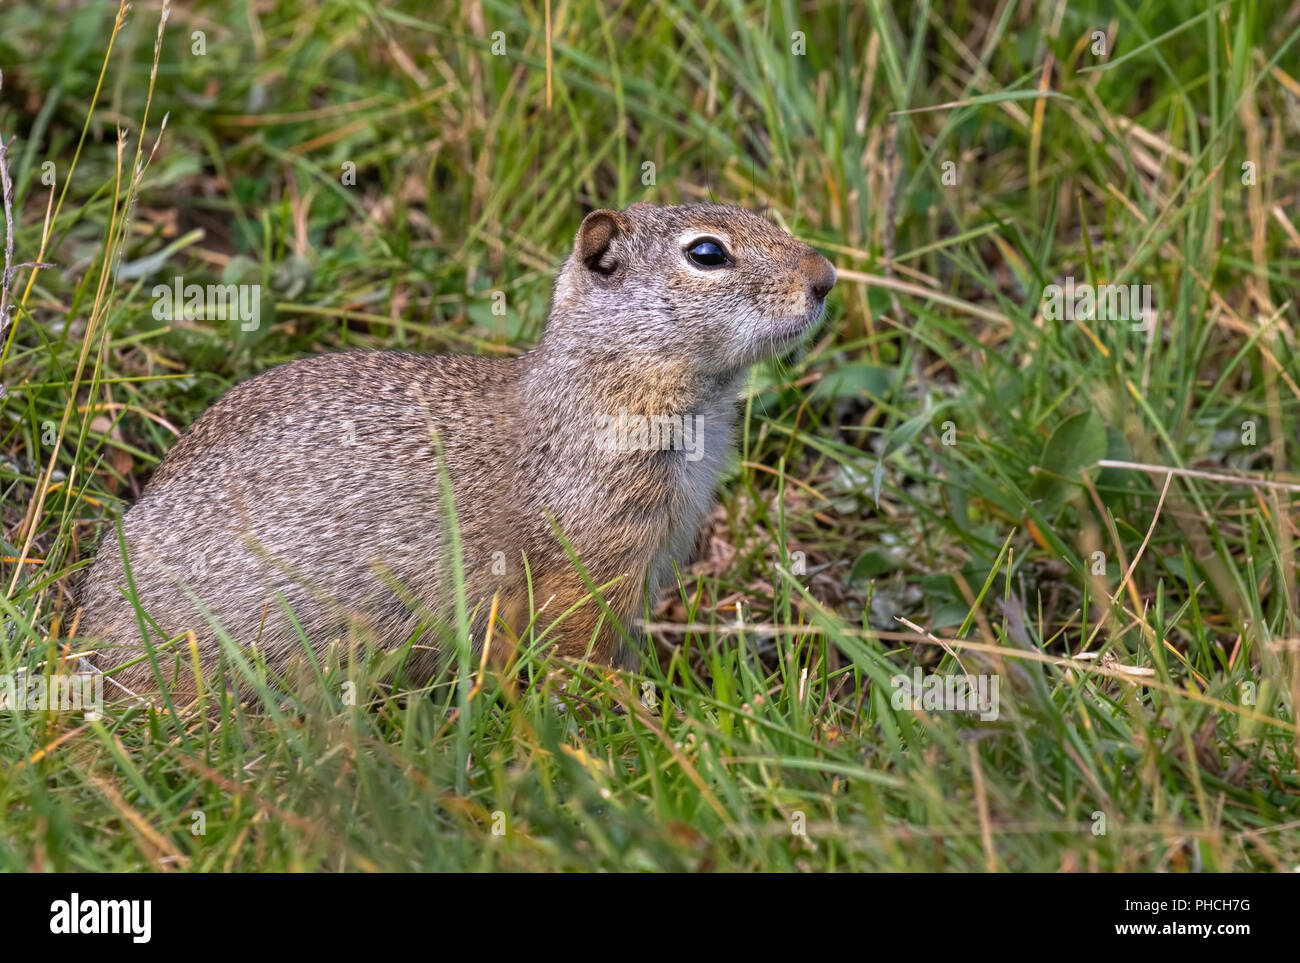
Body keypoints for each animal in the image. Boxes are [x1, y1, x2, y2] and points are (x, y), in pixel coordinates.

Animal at [81, 202, 837, 696]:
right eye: (706, 253)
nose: (826, 276)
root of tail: (86, 632)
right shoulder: (589, 558)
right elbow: (580, 649)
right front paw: (627, 715)